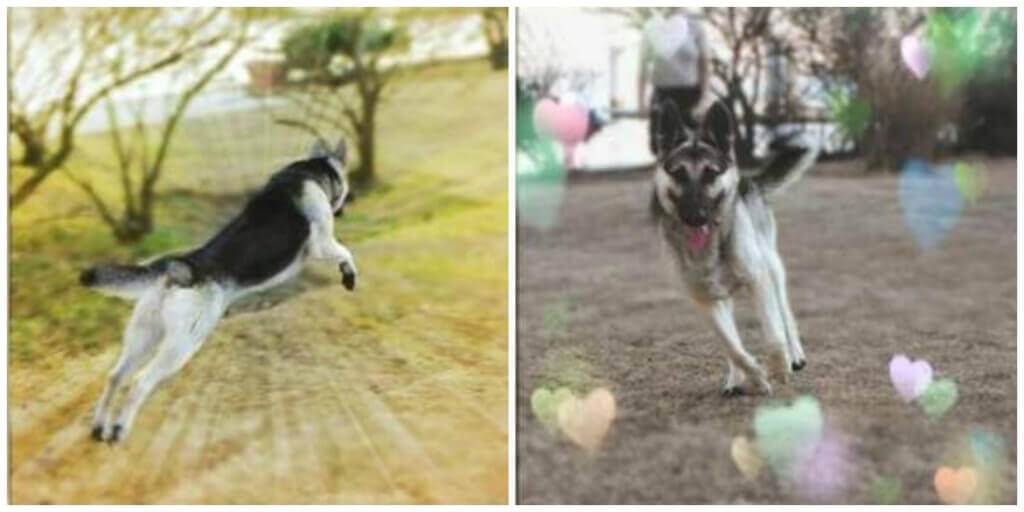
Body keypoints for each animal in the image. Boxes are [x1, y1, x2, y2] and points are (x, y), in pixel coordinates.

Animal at [80, 138, 360, 442]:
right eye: (346, 182)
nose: (354, 197)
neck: (312, 171)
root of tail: (178, 266)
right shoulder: (322, 244)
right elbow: (346, 252)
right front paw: (349, 276)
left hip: (144, 337)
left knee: (115, 377)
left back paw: (100, 427)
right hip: (183, 345)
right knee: (139, 382)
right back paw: (120, 428)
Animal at [651, 102, 819, 395]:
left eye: (710, 173)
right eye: (679, 173)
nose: (696, 217)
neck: (713, 247)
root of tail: (747, 179)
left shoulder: (758, 280)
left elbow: (773, 333)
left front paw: (778, 367)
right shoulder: (705, 300)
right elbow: (733, 347)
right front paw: (755, 375)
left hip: (773, 270)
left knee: (785, 314)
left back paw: (795, 355)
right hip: (724, 297)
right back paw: (735, 378)